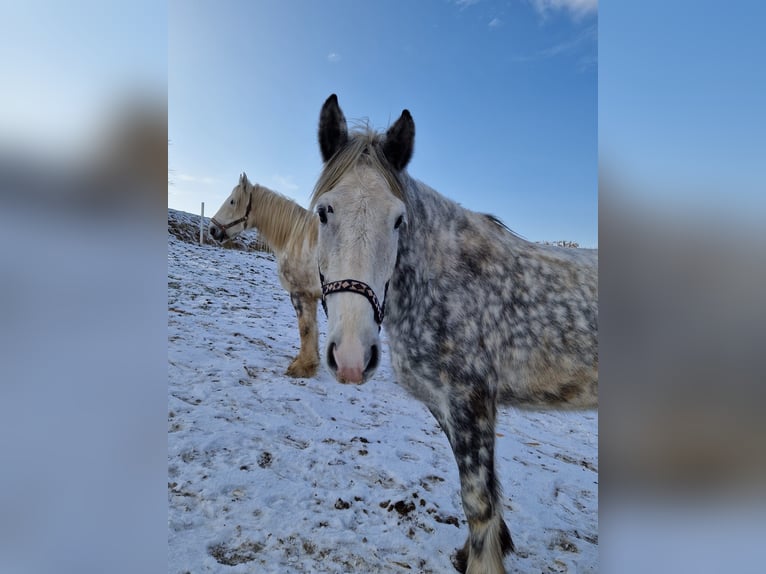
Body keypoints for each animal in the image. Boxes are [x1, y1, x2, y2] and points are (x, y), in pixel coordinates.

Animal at [209, 173, 321, 378]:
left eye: (232, 201)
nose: (212, 230)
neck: (299, 240)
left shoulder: (300, 293)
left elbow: (306, 328)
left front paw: (302, 367)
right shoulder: (311, 295)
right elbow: (312, 329)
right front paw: (310, 363)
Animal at [310, 95, 598, 574]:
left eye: (399, 220)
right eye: (323, 212)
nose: (351, 356)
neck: (447, 280)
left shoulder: (472, 402)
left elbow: (478, 502)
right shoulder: (446, 404)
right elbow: (490, 497)